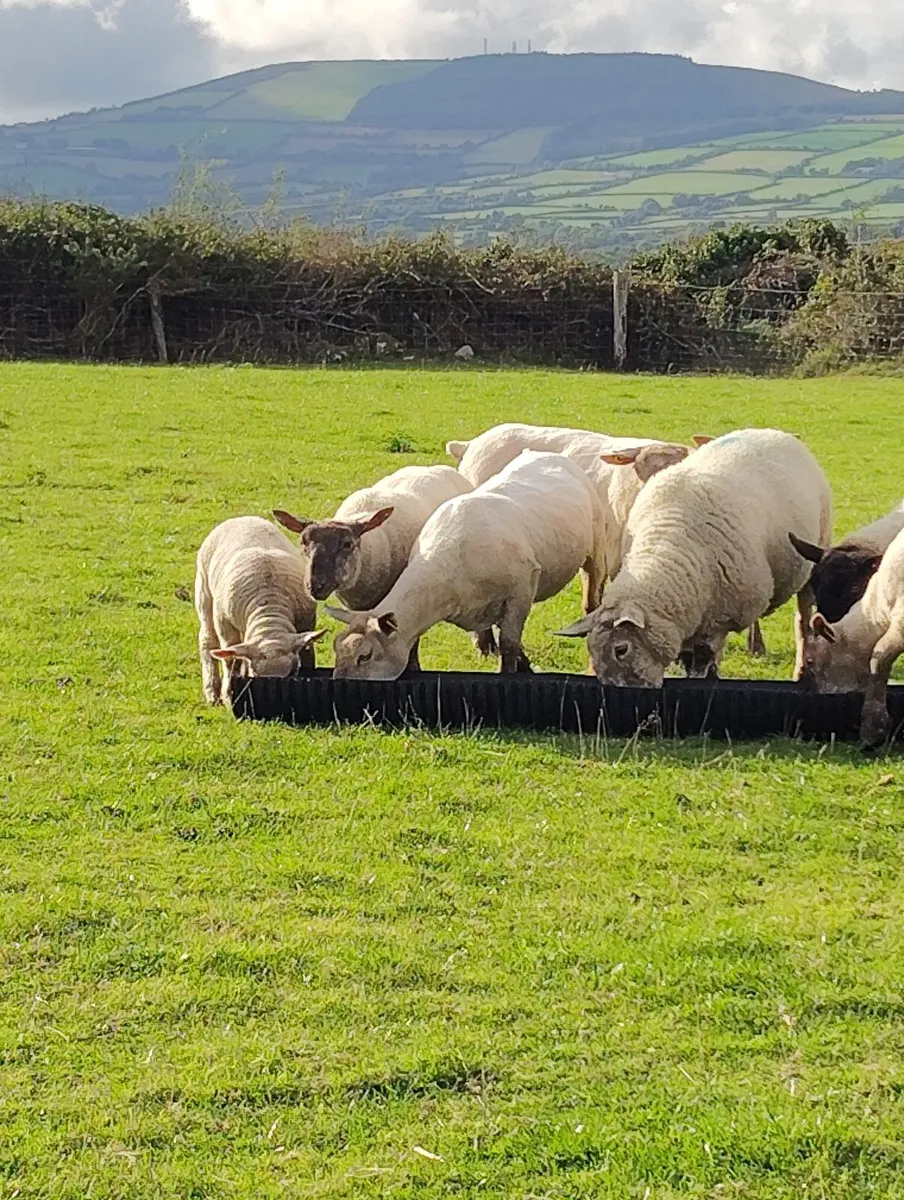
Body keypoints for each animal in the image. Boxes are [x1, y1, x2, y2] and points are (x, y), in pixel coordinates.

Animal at [195, 516, 323, 706]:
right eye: (255, 675)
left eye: (292, 672)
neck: (269, 610)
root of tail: (242, 518)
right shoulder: (225, 624)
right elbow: (230, 659)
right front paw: (228, 695)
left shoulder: (305, 623)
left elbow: (307, 652)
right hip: (204, 593)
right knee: (207, 640)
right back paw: (212, 691)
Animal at [328, 450, 607, 680]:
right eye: (336, 649)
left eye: (365, 656)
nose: (339, 681)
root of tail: (545, 453)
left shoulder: (521, 590)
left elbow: (509, 642)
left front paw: (510, 671)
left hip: (596, 547)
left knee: (592, 593)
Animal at [556, 429, 833, 686]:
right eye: (592, 650)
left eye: (621, 649)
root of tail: (772, 431)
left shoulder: (719, 620)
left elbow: (703, 664)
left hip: (814, 556)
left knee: (804, 621)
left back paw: (801, 669)